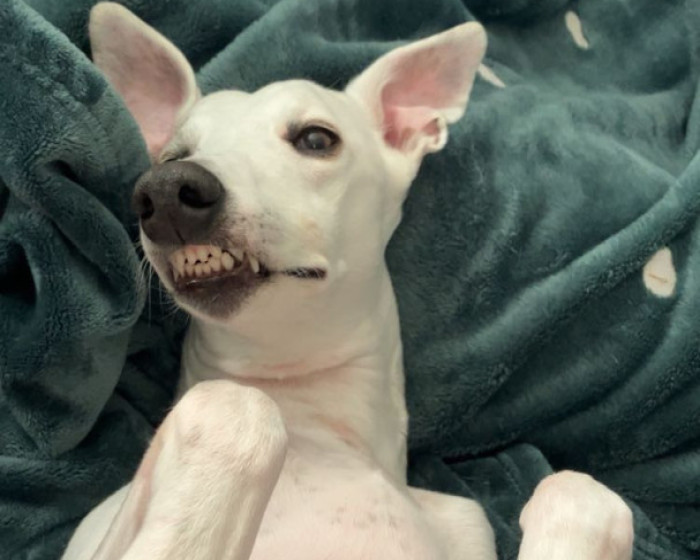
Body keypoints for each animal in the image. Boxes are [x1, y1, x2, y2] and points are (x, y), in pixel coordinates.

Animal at [61, 3, 635, 559]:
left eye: (316, 138)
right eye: (174, 156)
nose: (166, 190)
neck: (307, 417)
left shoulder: (468, 528)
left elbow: (582, 491)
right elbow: (235, 406)